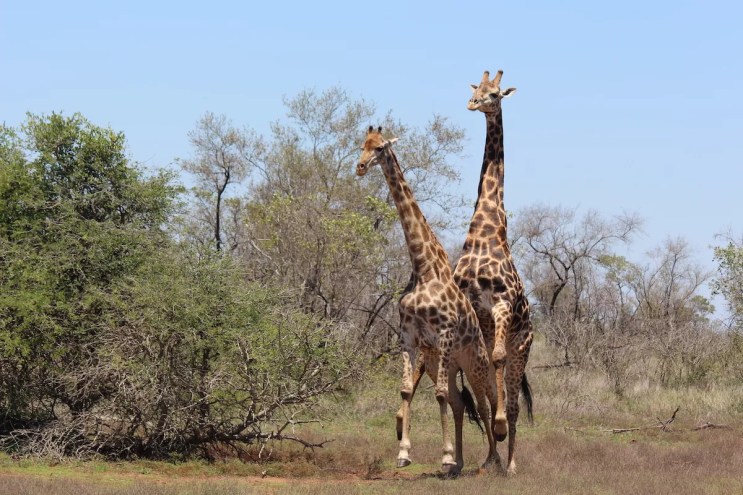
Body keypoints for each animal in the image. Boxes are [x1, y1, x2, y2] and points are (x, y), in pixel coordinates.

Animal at [357, 126, 499, 474]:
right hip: (439, 362)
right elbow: (408, 390)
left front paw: (444, 455)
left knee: (486, 403)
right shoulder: (409, 336)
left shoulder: (444, 334)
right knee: (460, 402)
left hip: (474, 362)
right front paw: (405, 453)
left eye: (380, 148)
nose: (360, 166)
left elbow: (438, 396)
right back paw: (459, 464)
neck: (423, 267)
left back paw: (494, 461)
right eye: (361, 145)